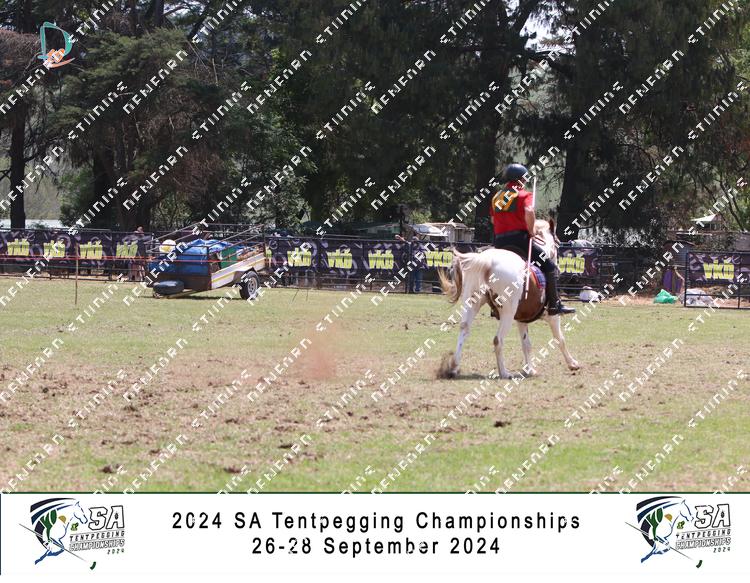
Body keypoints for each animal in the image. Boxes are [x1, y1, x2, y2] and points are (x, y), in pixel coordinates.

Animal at [437, 219, 580, 379]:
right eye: (557, 244)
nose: (559, 269)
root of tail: (487, 261)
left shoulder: (522, 319)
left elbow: (526, 344)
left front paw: (530, 369)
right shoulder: (552, 317)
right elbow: (560, 339)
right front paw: (572, 363)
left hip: (472, 303)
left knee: (464, 330)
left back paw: (453, 368)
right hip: (507, 313)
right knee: (497, 340)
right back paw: (504, 373)